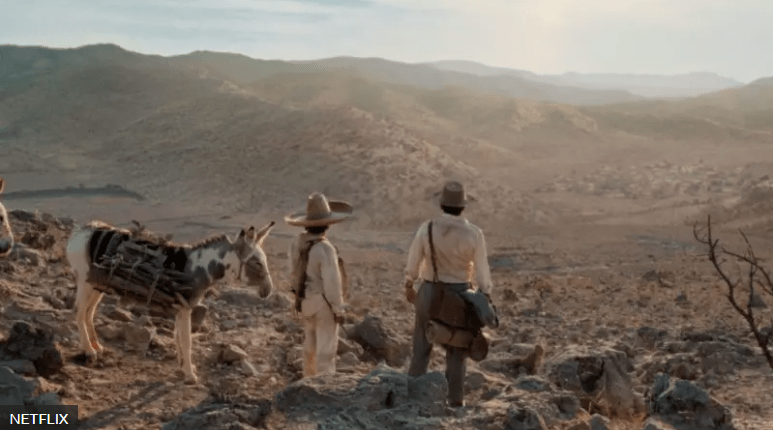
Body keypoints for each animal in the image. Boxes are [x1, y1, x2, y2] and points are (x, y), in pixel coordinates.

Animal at [66, 219, 276, 384]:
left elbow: (177, 337)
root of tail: (80, 231)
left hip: (97, 284)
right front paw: (190, 375)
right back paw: (89, 351)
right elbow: (186, 341)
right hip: (85, 282)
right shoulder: (185, 309)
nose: (268, 291)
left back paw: (97, 347)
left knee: (88, 313)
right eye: (257, 263)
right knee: (78, 312)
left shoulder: (179, 309)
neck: (197, 269)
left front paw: (184, 368)